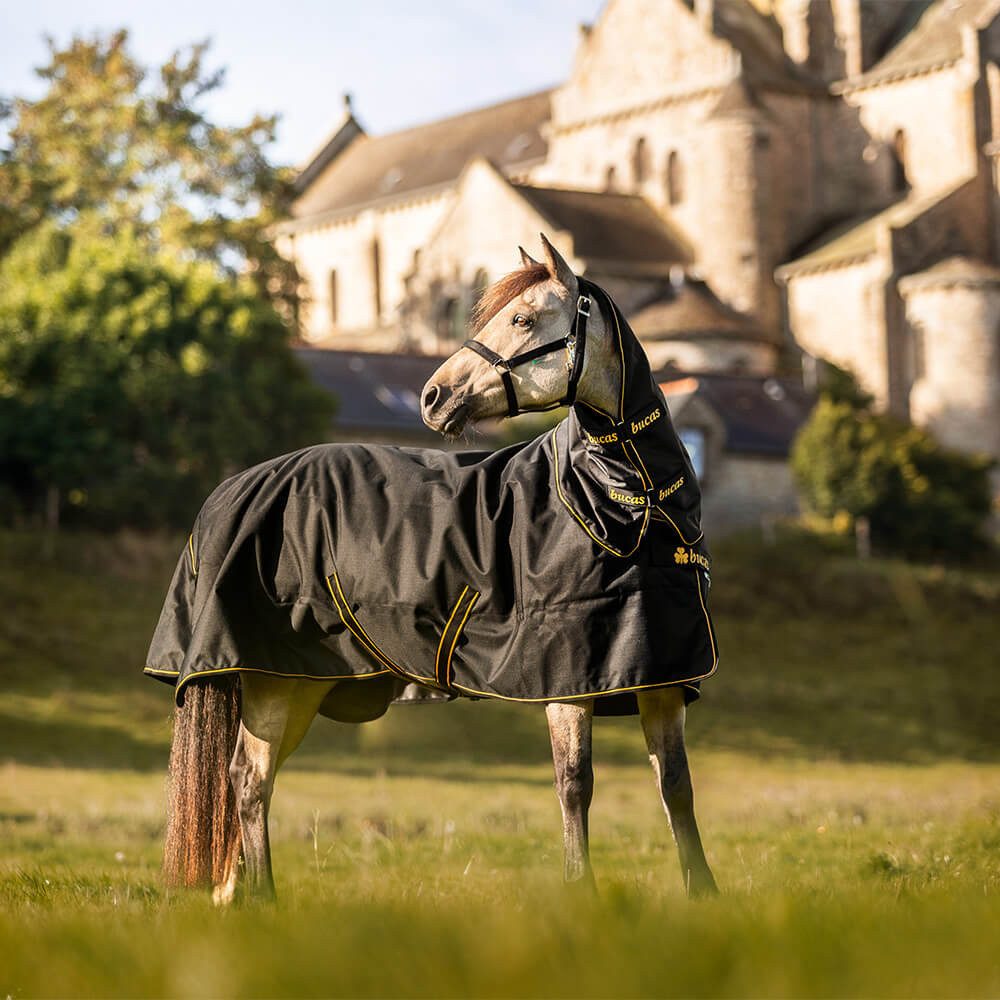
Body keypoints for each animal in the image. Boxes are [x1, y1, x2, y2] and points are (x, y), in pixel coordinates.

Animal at [148, 235, 718, 904]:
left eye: (522, 320)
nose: (432, 397)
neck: (626, 498)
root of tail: (233, 489)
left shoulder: (660, 678)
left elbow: (676, 788)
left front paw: (704, 896)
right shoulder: (567, 682)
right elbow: (574, 785)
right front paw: (582, 893)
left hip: (299, 685)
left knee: (249, 780)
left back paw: (234, 898)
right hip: (275, 680)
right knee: (248, 780)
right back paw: (262, 899)